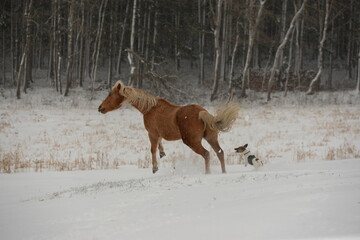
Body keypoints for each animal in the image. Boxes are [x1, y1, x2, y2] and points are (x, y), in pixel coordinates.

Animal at [98, 81, 239, 174]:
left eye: (110, 94)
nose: (100, 108)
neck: (149, 108)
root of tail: (202, 112)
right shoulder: (158, 133)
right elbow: (160, 144)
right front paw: (162, 154)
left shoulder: (152, 133)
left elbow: (152, 149)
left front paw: (155, 168)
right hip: (211, 138)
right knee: (220, 153)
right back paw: (223, 172)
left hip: (192, 142)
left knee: (207, 154)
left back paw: (207, 173)